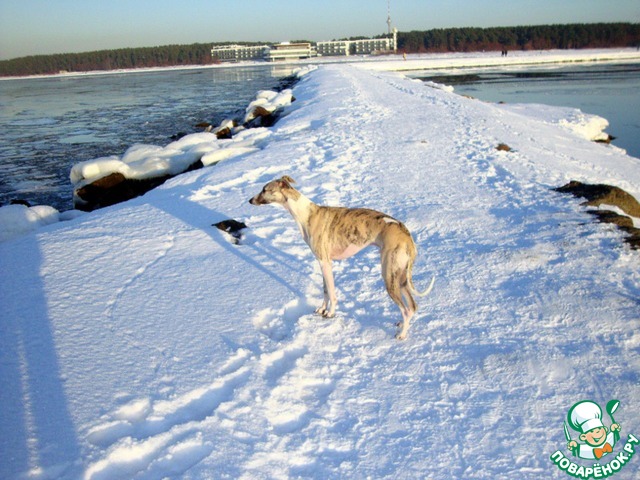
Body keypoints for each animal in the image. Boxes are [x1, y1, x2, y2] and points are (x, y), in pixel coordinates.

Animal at [249, 176, 434, 339]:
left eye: (265, 189)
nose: (250, 200)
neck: (306, 214)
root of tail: (407, 237)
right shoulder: (323, 262)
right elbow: (325, 289)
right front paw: (322, 310)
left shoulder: (325, 262)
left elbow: (331, 292)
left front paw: (331, 313)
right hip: (401, 275)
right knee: (413, 306)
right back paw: (402, 324)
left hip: (389, 274)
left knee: (406, 309)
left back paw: (401, 335)